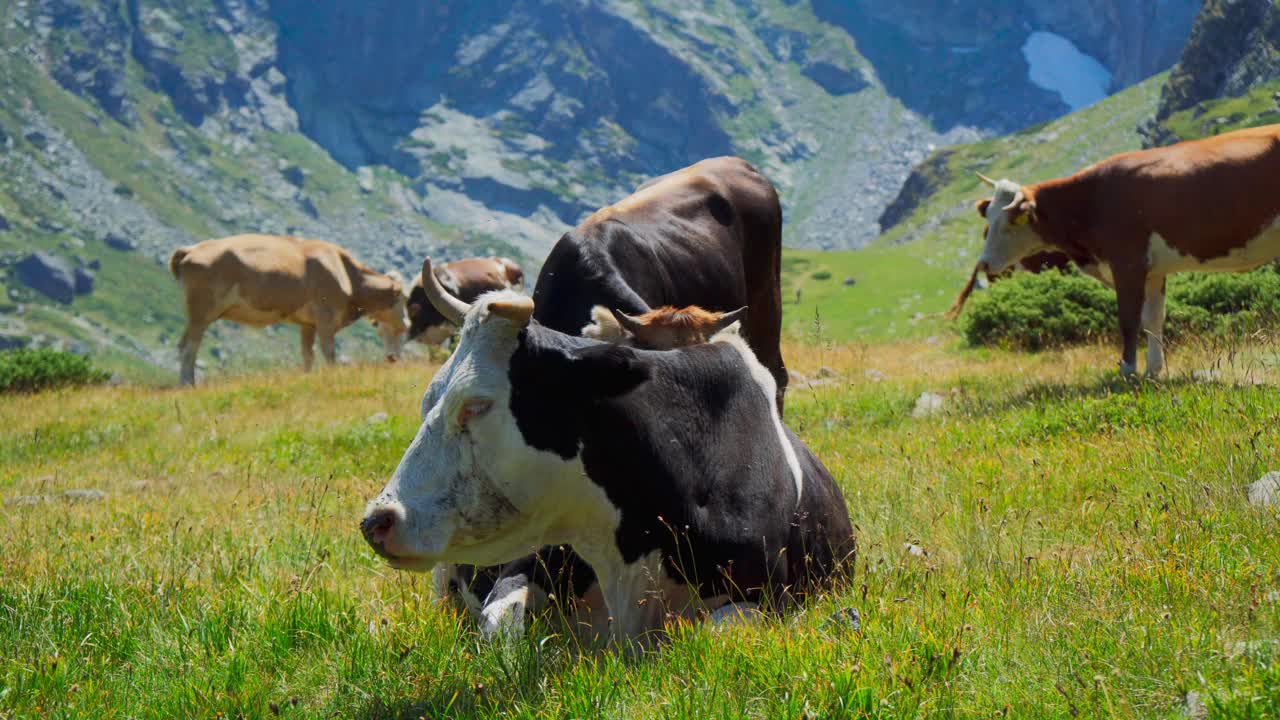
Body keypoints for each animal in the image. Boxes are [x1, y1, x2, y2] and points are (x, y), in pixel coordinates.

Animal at [170, 234, 407, 381]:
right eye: (404, 298)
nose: (406, 323)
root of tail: (191, 249)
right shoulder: (326, 317)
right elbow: (329, 351)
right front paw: (332, 374)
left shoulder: (307, 323)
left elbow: (307, 354)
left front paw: (307, 376)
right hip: (201, 312)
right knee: (190, 347)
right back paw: (188, 383)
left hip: (196, 315)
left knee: (183, 345)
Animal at [360, 260, 855, 640]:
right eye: (429, 398)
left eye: (476, 405)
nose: (376, 521)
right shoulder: (521, 570)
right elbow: (499, 627)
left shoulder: (763, 598)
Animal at [957, 121, 1280, 376]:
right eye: (988, 220)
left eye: (1009, 223)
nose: (983, 264)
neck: (1090, 200)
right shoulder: (1153, 270)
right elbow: (1152, 319)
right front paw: (1153, 370)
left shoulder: (1127, 262)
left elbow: (1128, 319)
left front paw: (1127, 369)